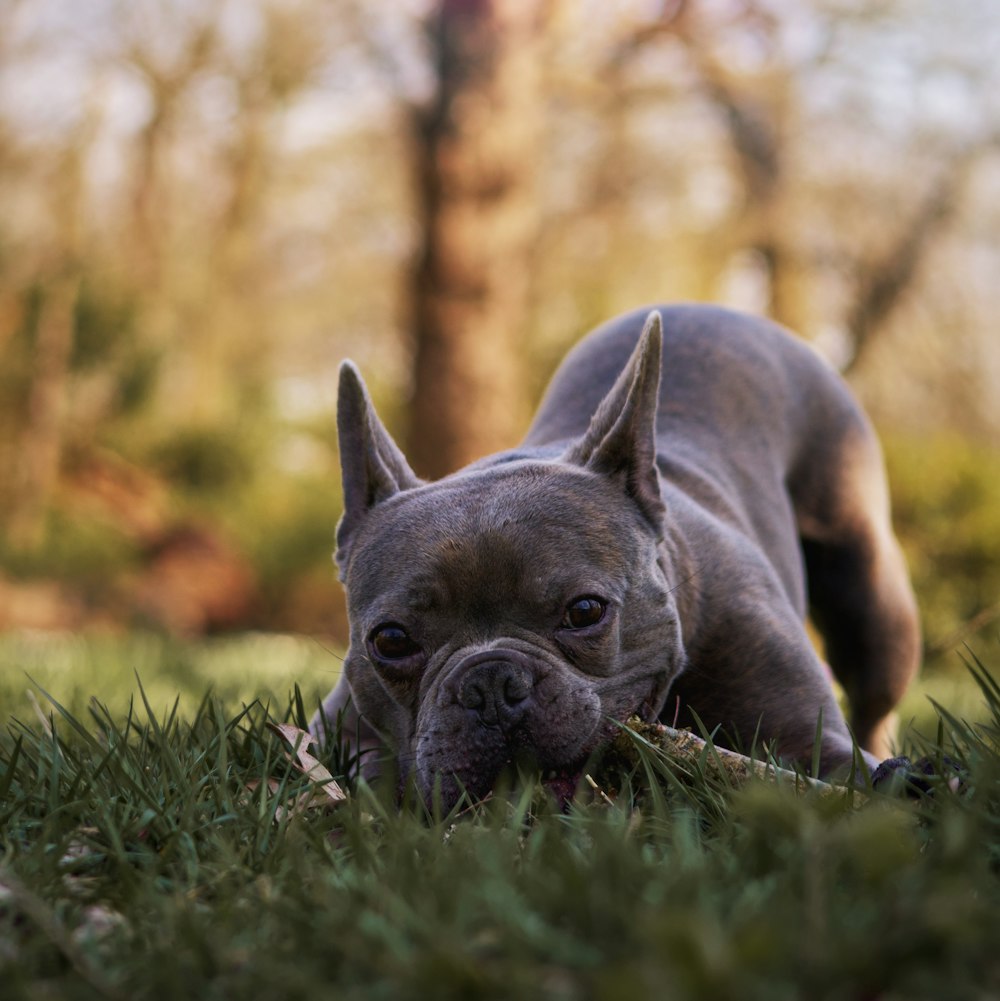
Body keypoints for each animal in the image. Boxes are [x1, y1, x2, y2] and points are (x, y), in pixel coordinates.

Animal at [312, 302, 920, 804]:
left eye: (585, 611)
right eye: (391, 641)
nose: (490, 684)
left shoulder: (812, 742)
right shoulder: (334, 730)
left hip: (870, 596)